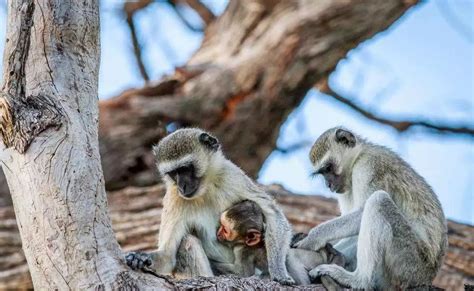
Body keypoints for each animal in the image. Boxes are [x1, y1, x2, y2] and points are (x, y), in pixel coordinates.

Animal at [126, 128, 296, 286]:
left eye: (185, 169)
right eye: (173, 173)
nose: (182, 187)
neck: (205, 189)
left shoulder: (232, 175)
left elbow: (273, 214)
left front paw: (279, 272)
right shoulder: (174, 198)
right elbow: (168, 255)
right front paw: (141, 257)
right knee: (188, 241)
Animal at [294, 127, 446, 290]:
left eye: (328, 168)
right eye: (322, 173)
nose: (328, 185)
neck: (359, 155)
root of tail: (427, 278)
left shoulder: (370, 167)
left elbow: (361, 213)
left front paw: (312, 238)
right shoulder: (345, 188)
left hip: (410, 264)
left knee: (378, 201)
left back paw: (357, 280)